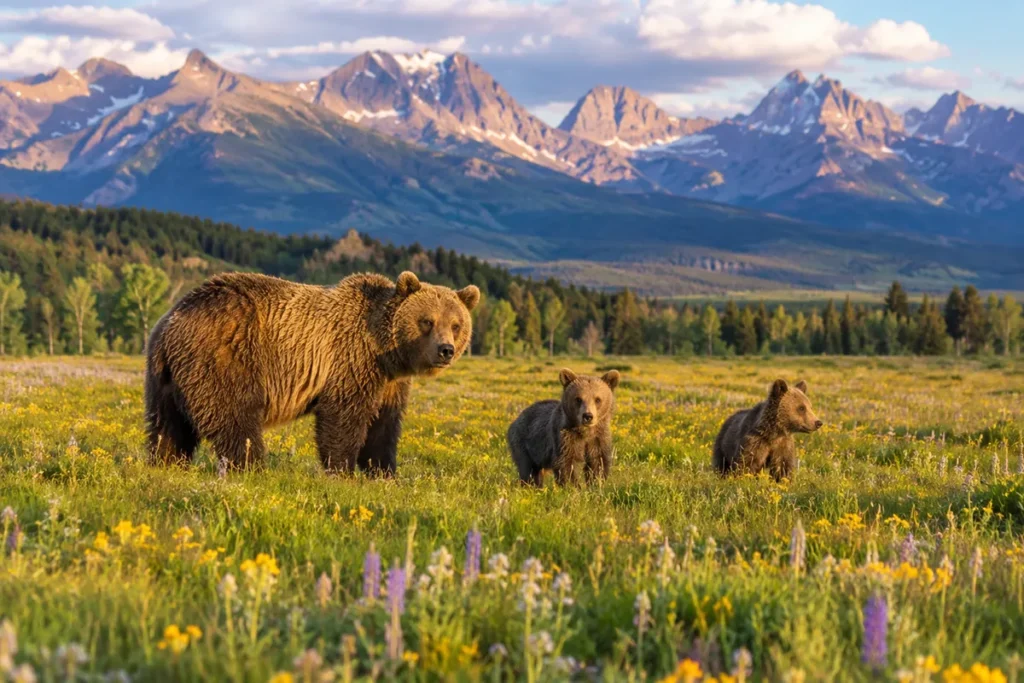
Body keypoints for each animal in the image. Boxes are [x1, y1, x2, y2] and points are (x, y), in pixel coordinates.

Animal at [144, 270, 479, 475]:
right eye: (427, 321)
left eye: (455, 324)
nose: (446, 350)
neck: (386, 350)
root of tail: (174, 316)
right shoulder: (350, 359)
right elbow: (343, 418)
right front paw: (343, 470)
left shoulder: (391, 382)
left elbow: (384, 425)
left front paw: (383, 472)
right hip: (227, 355)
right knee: (233, 416)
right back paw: (252, 466)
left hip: (166, 376)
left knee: (166, 424)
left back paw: (167, 462)